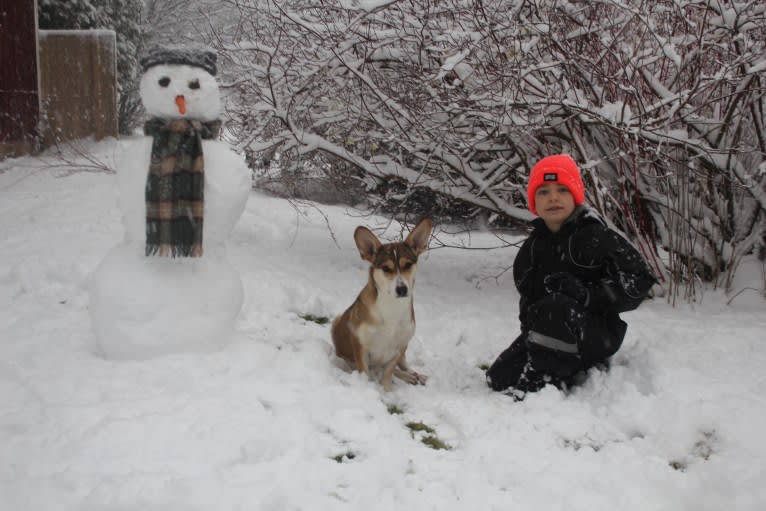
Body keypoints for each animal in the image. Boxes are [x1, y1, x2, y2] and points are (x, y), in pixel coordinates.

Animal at [332, 219, 436, 392]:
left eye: (408, 265)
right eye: (386, 268)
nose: (402, 289)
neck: (392, 308)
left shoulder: (398, 348)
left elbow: (389, 372)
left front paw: (388, 391)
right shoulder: (361, 346)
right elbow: (366, 372)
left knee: (404, 366)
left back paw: (416, 376)